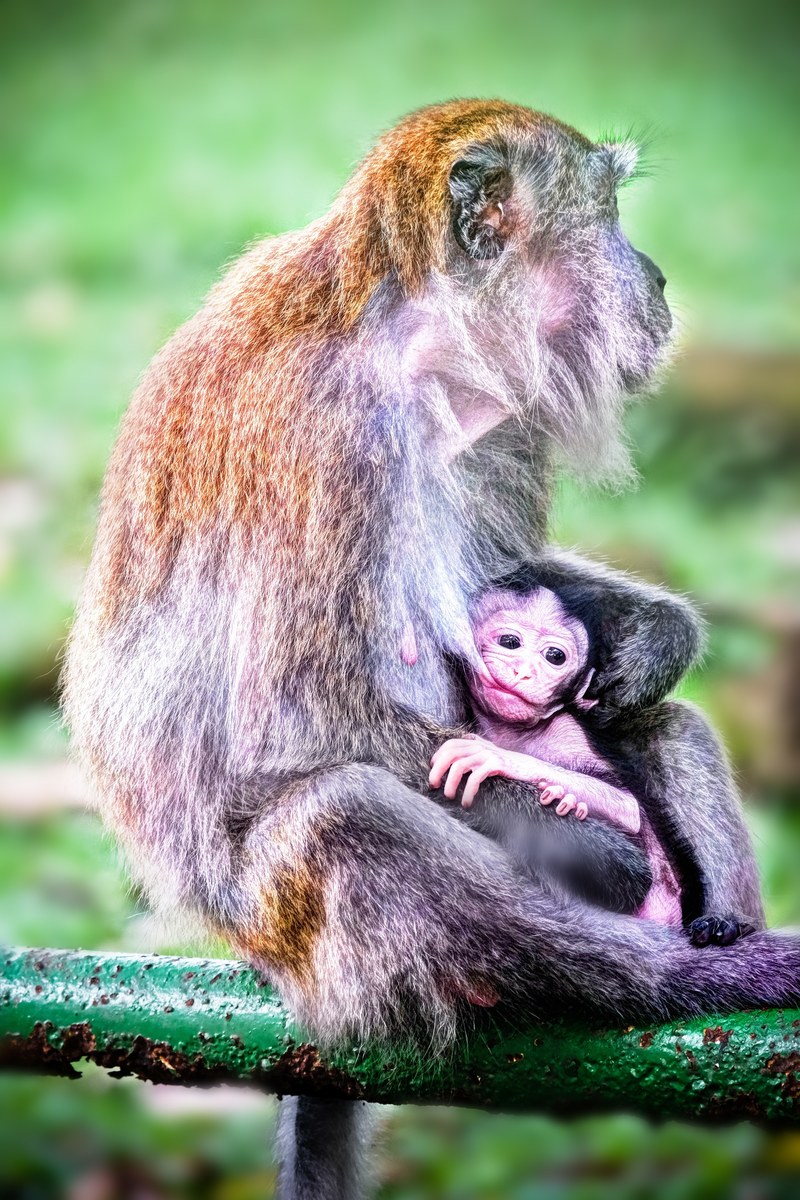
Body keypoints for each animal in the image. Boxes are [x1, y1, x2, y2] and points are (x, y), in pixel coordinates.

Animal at [63, 101, 799, 1199]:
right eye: (608, 209)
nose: (658, 277)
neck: (401, 334)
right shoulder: (328, 436)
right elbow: (295, 716)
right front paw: (588, 845)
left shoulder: (497, 421)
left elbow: (513, 573)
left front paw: (656, 633)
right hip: (275, 918)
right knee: (347, 816)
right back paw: (674, 977)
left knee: (650, 722)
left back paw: (710, 924)